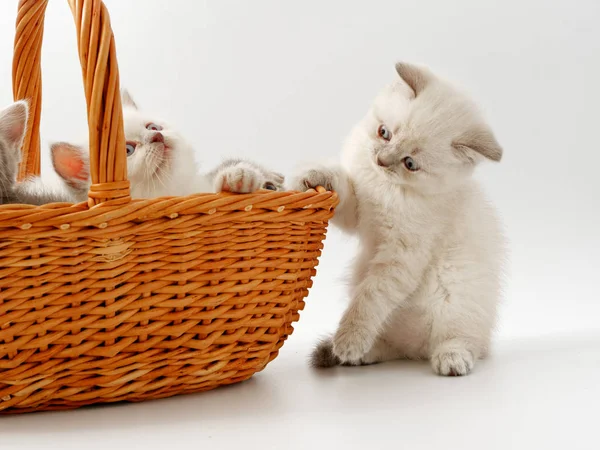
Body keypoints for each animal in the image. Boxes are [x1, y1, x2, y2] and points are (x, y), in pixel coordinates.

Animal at [290, 62, 506, 376]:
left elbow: (370, 298)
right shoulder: (358, 212)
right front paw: (313, 177)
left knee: (465, 341)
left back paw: (451, 359)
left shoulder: (402, 255)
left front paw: (349, 338)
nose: (381, 160)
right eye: (385, 133)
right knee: (391, 347)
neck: (386, 187)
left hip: (459, 296)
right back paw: (355, 356)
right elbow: (342, 187)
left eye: (410, 163)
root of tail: (416, 351)